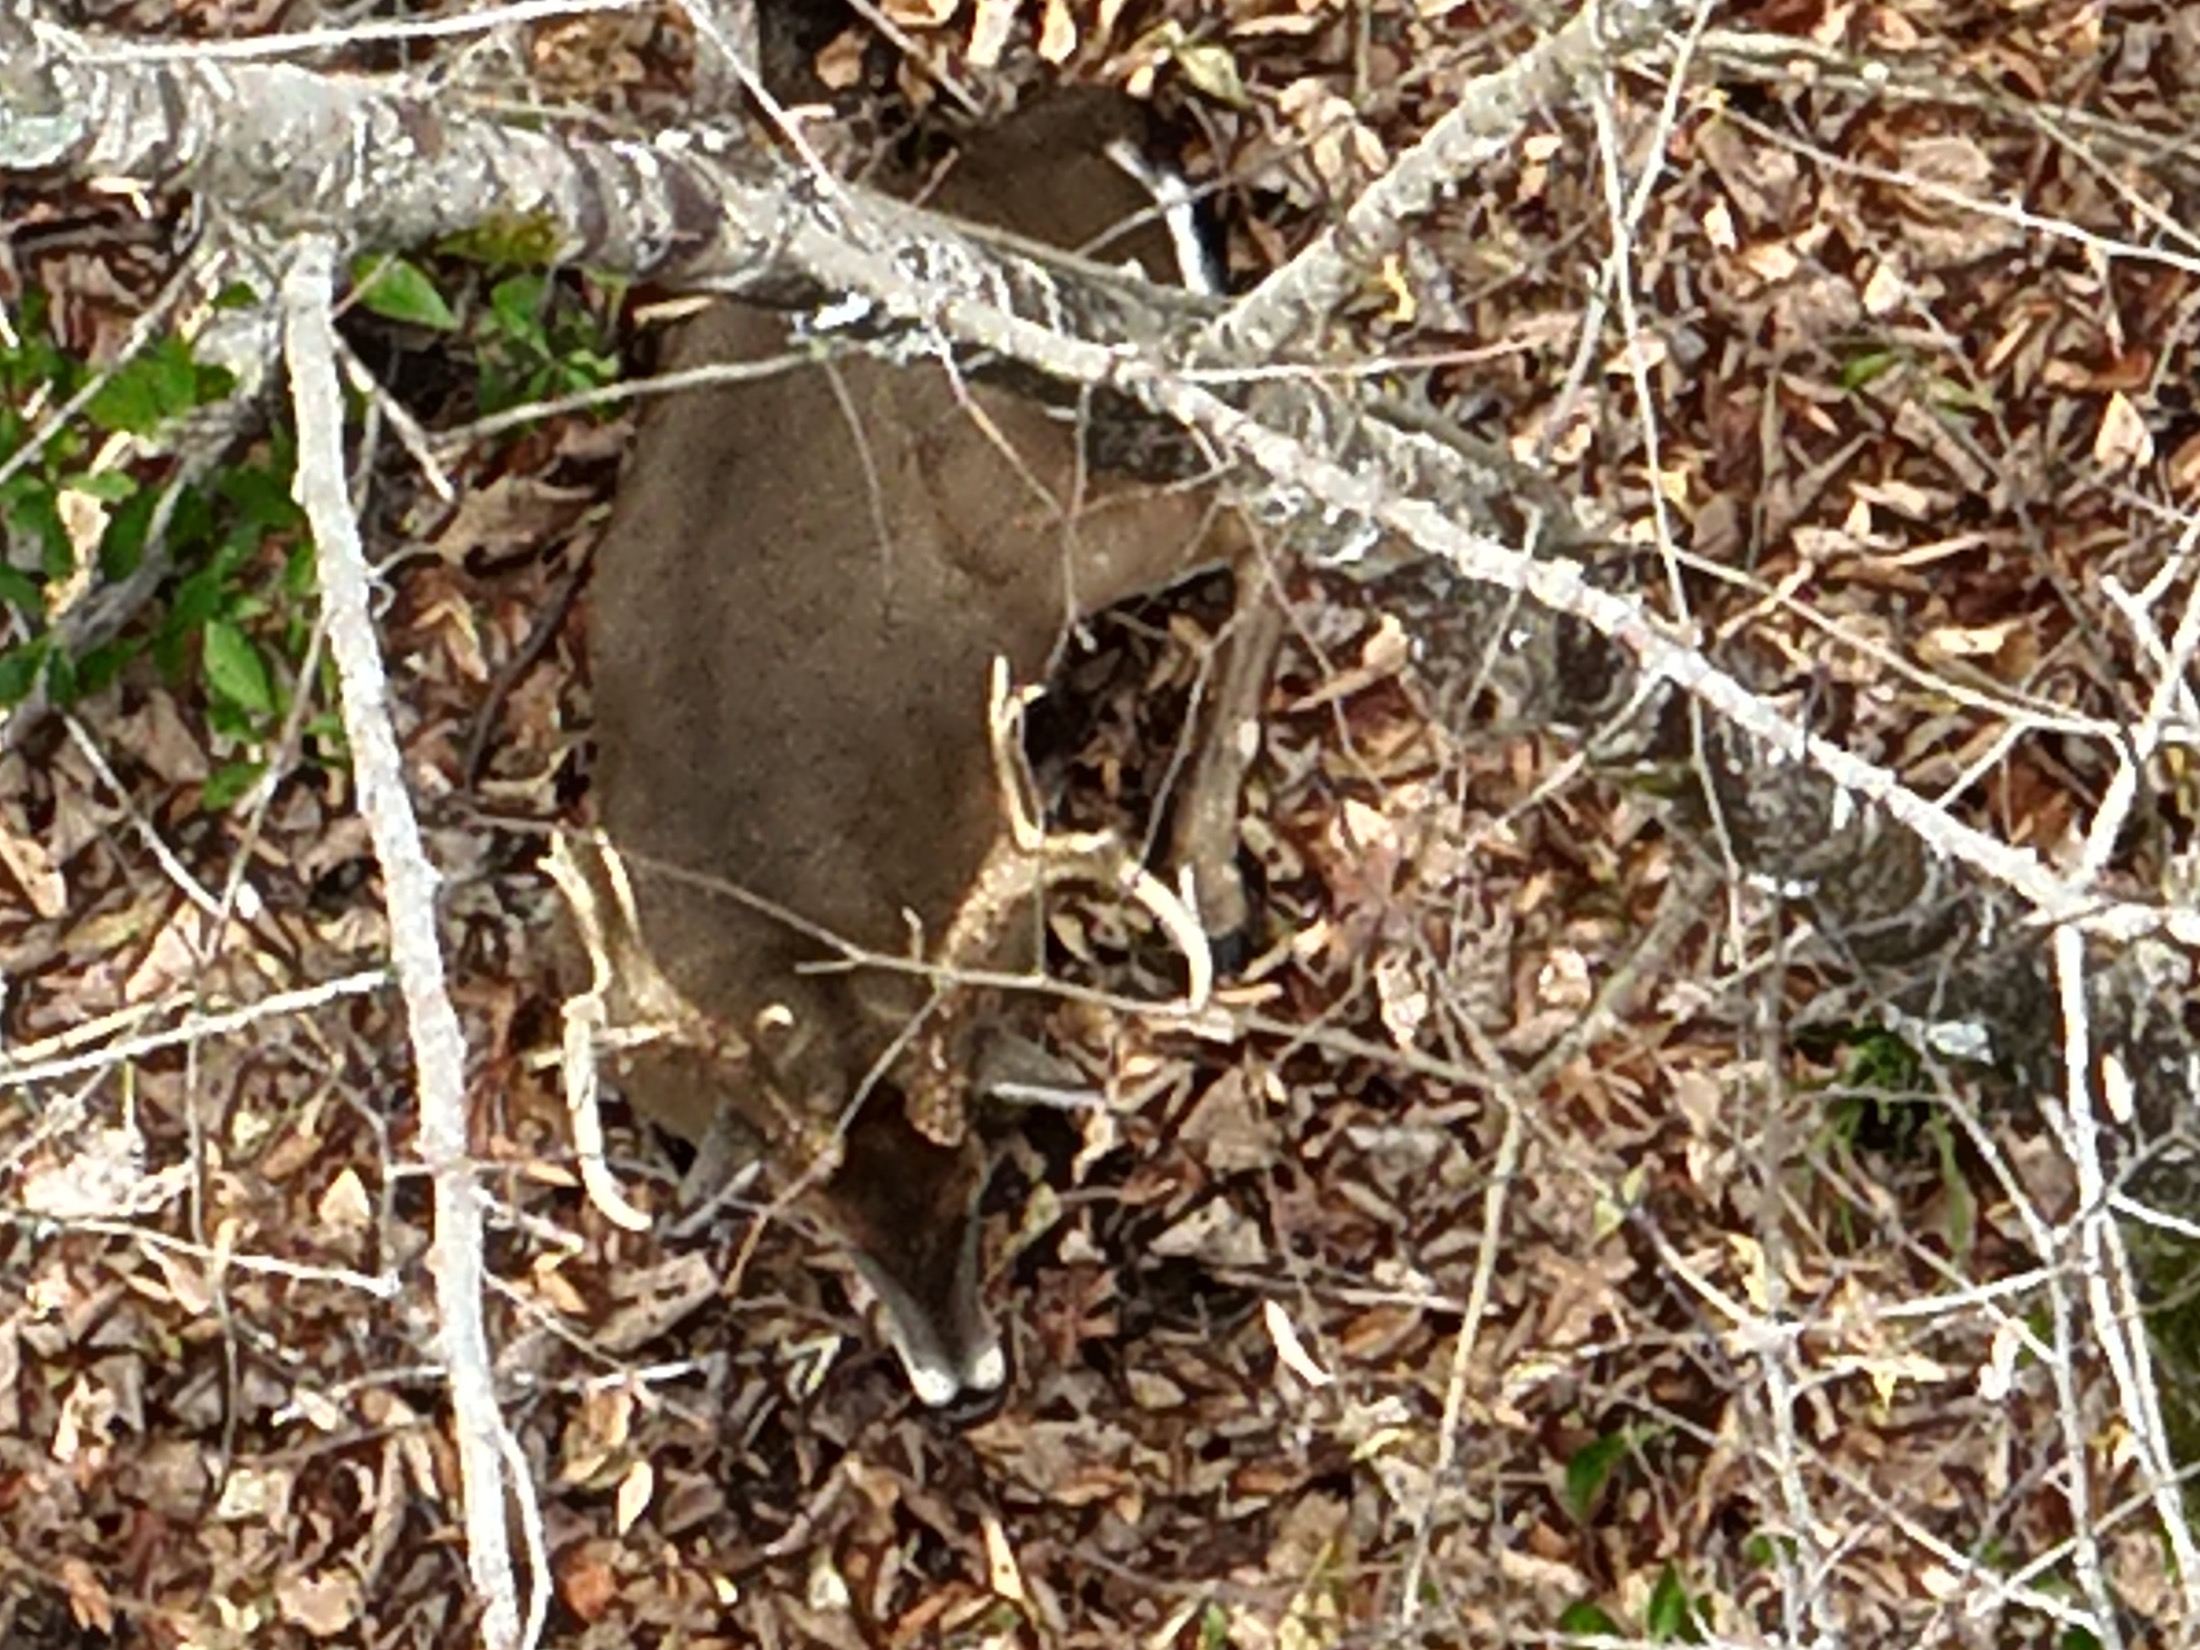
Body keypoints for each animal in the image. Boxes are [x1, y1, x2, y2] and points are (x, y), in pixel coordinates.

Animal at [573, 89, 1270, 1407]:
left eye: (982, 1179)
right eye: (823, 1223)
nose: (961, 1383)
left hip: (1058, 529)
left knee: (1257, 520)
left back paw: (1210, 873)